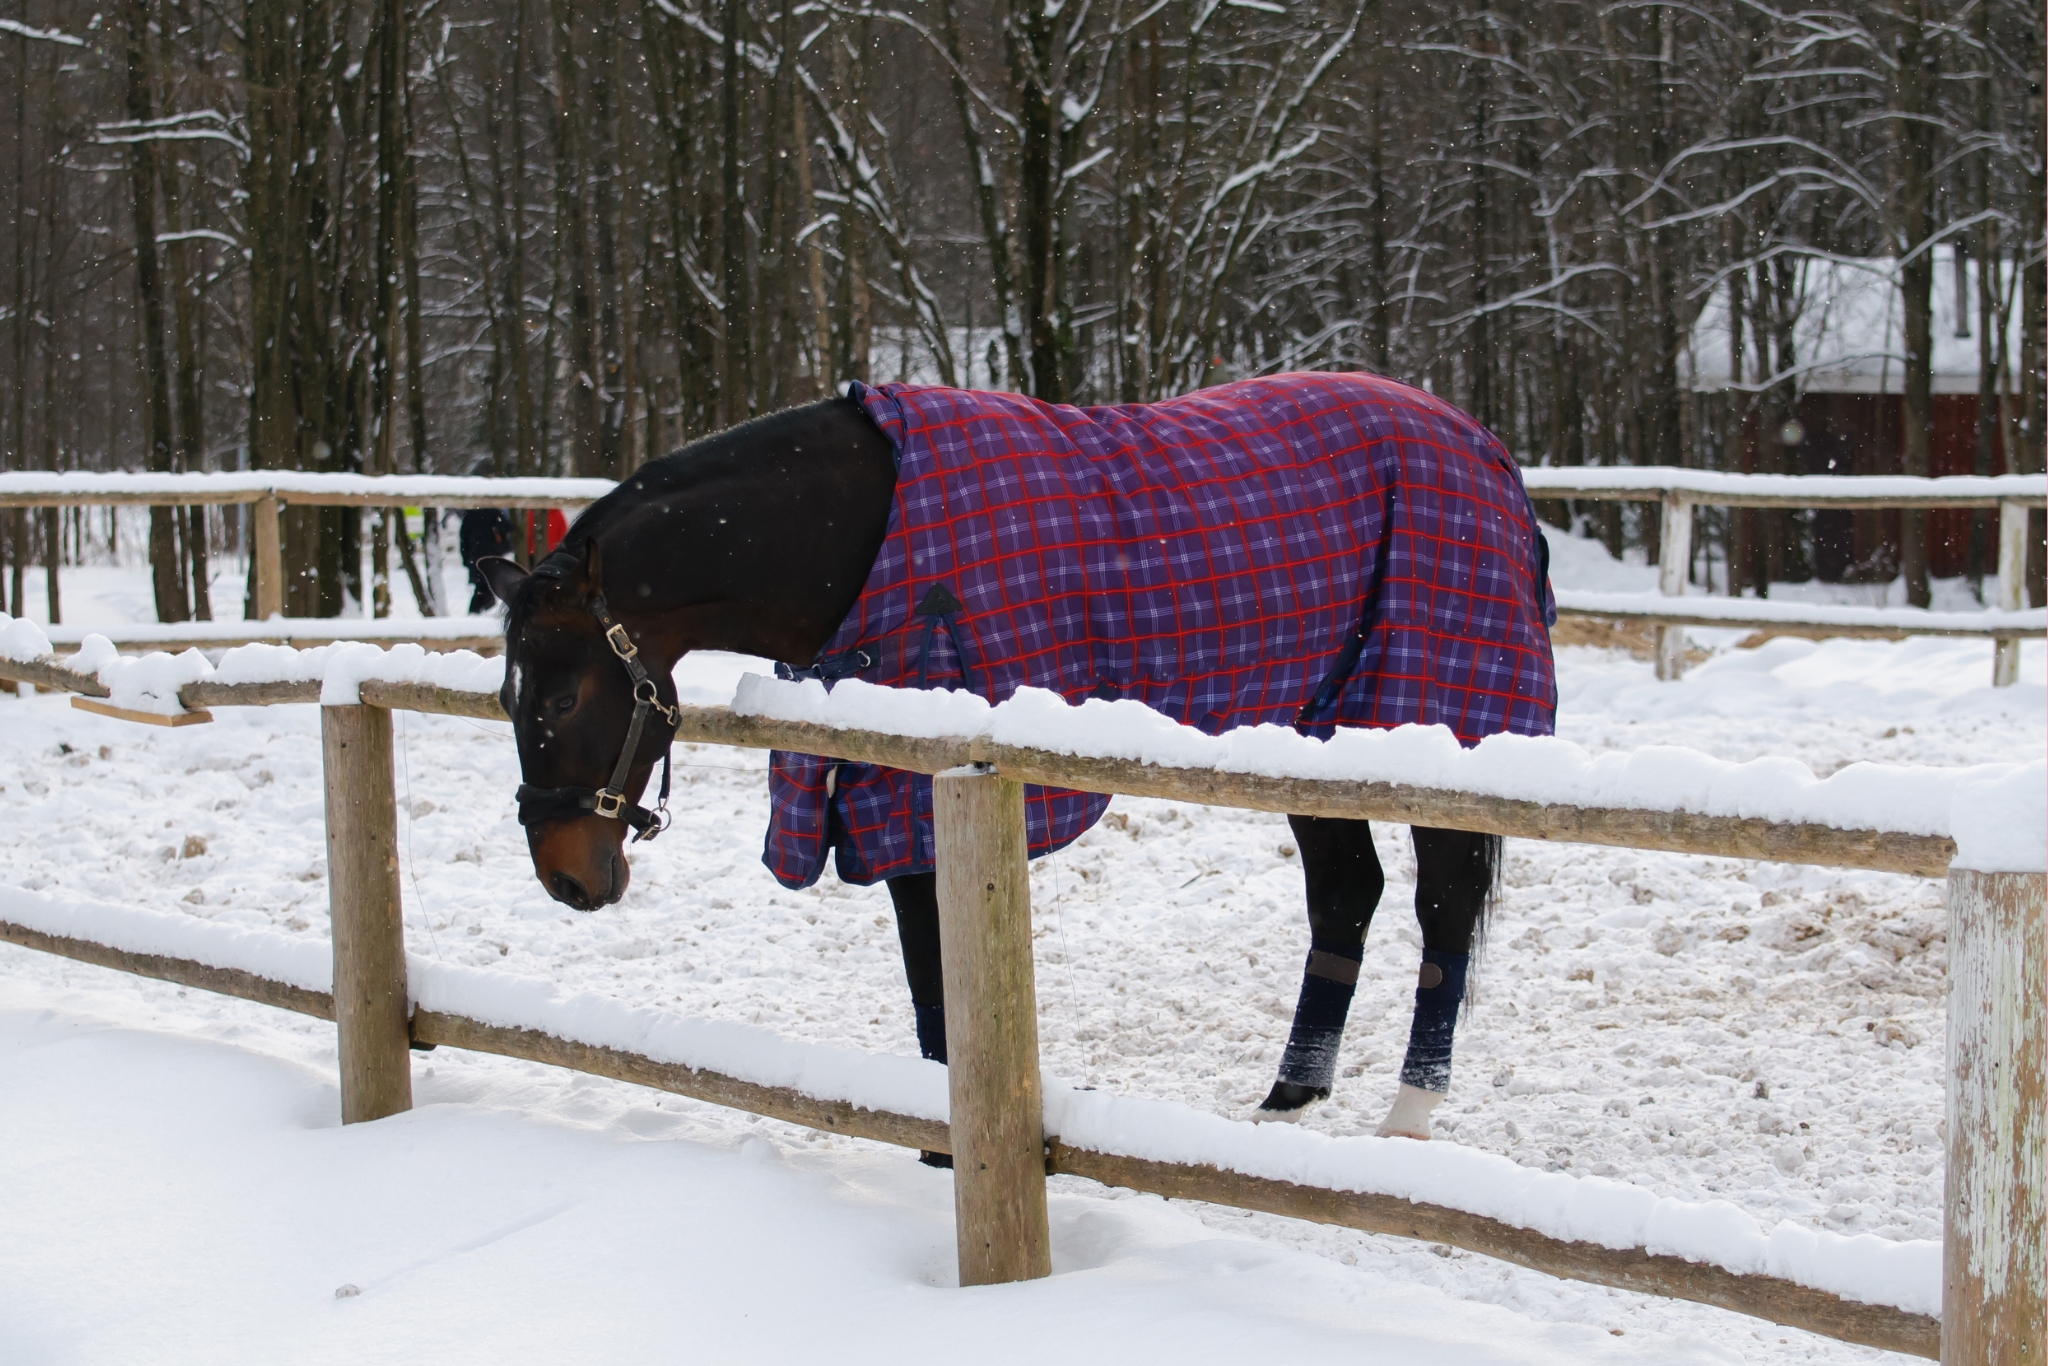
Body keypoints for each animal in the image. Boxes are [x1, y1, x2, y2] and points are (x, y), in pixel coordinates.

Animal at [478, 373, 1556, 1146]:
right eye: (505, 696)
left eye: (564, 695)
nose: (566, 878)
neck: (867, 542)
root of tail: (1485, 450)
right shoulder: (882, 800)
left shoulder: (923, 801)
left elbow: (940, 989)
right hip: (1311, 736)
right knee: (1345, 893)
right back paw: (1291, 1093)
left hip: (1439, 730)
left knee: (1442, 902)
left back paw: (1408, 1114)